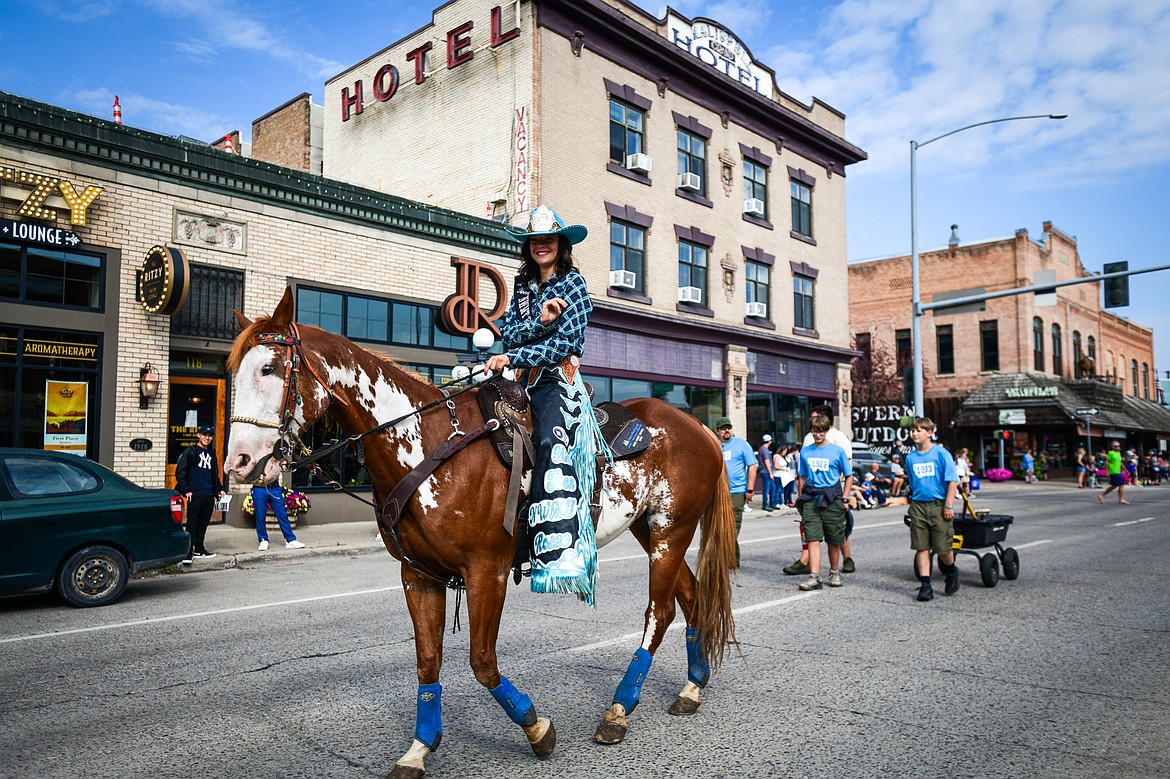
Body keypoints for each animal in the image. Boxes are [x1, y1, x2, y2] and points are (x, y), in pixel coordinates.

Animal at [224, 287, 734, 771]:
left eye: (270, 367)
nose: (239, 463)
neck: (429, 444)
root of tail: (702, 430)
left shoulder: (487, 570)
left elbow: (482, 662)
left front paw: (536, 728)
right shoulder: (419, 575)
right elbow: (428, 662)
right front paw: (419, 748)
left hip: (671, 529)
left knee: (658, 613)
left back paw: (619, 710)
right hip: (648, 529)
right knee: (690, 598)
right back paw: (692, 687)